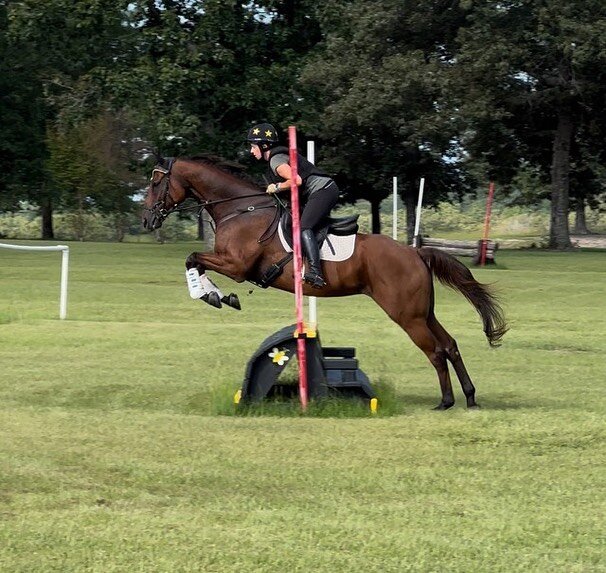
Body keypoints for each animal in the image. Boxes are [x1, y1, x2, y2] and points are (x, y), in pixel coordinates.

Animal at [142, 154, 508, 408]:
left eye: (156, 184)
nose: (146, 220)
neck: (241, 209)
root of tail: (415, 252)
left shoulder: (237, 265)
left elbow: (192, 258)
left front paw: (213, 296)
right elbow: (194, 260)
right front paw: (218, 296)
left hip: (407, 315)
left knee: (435, 351)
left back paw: (445, 402)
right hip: (423, 312)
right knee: (450, 345)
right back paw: (469, 397)